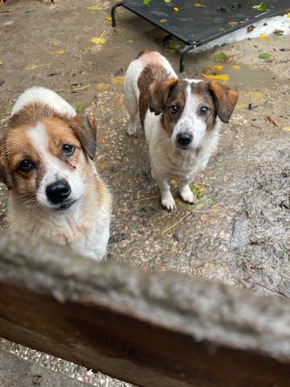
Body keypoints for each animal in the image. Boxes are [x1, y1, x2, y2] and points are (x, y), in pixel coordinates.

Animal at [123, 50, 239, 211]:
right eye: (174, 108)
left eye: (204, 110)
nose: (183, 138)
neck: (184, 156)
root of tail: (147, 53)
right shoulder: (158, 172)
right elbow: (165, 187)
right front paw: (167, 200)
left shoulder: (193, 172)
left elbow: (184, 183)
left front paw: (185, 193)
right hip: (131, 100)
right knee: (133, 115)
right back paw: (132, 128)